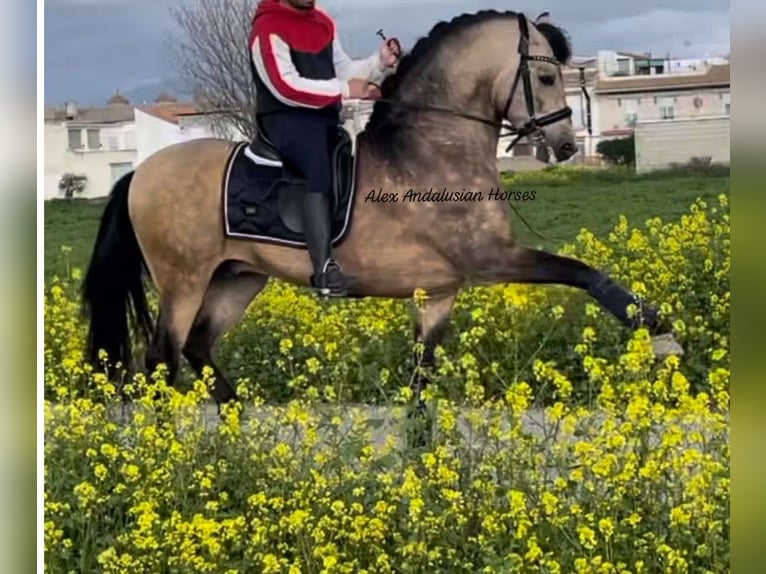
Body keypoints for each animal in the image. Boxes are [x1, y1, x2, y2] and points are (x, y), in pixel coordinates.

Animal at [81, 11, 680, 412]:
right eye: (549, 77)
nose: (564, 145)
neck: (433, 146)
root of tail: (142, 173)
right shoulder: (492, 259)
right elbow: (580, 271)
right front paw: (657, 330)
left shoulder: (440, 292)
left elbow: (421, 377)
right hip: (184, 280)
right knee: (162, 358)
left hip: (238, 278)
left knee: (199, 346)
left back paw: (236, 416)